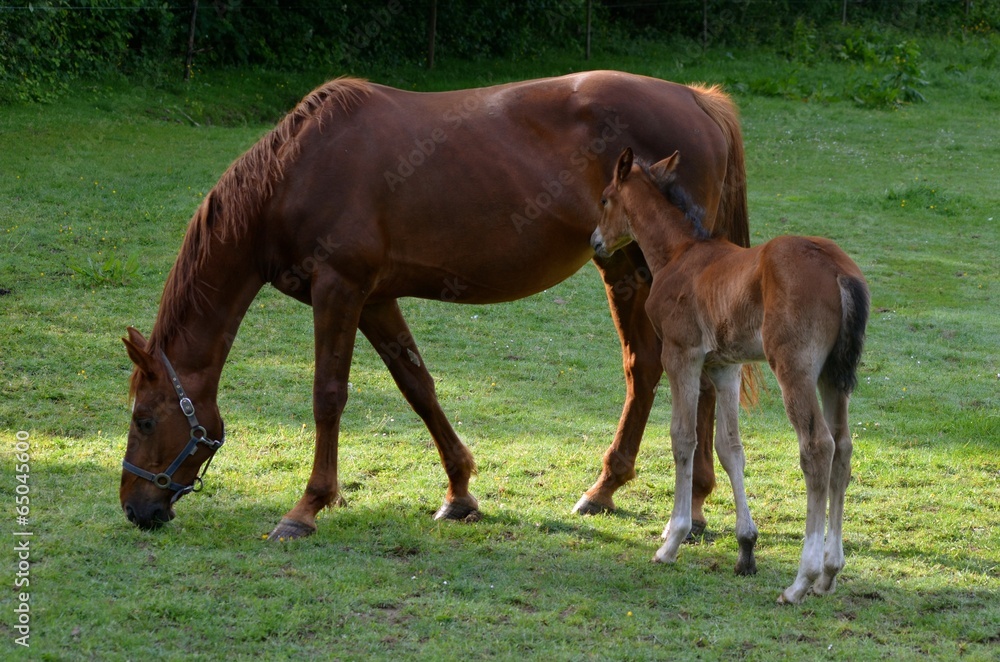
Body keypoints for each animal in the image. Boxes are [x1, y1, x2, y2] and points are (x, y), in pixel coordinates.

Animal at [119, 72, 753, 541]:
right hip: (622, 265)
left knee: (687, 370)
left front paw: (305, 508)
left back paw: (693, 505)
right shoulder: (375, 299)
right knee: (649, 367)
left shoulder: (339, 290)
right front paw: (460, 492)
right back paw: (613, 490)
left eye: (144, 419)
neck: (297, 172)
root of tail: (697, 99)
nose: (134, 507)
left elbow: (328, 396)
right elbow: (417, 386)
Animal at [591, 147, 869, 604]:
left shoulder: (681, 355)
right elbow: (730, 447)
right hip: (833, 376)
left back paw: (801, 580)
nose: (595, 243)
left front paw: (672, 540)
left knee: (817, 448)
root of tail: (837, 268)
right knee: (842, 448)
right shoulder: (725, 367)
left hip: (794, 369)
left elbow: (683, 438)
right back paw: (829, 572)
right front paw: (746, 547)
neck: (680, 253)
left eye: (604, 199)